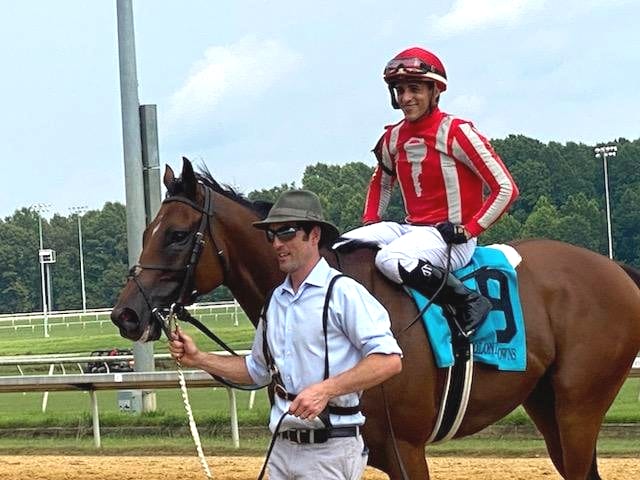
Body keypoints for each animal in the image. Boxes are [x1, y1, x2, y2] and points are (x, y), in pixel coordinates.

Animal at [112, 159, 640, 478]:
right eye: (148, 229)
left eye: (178, 235)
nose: (125, 314)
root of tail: (617, 270)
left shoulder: (406, 451)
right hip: (545, 403)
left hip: (578, 404)